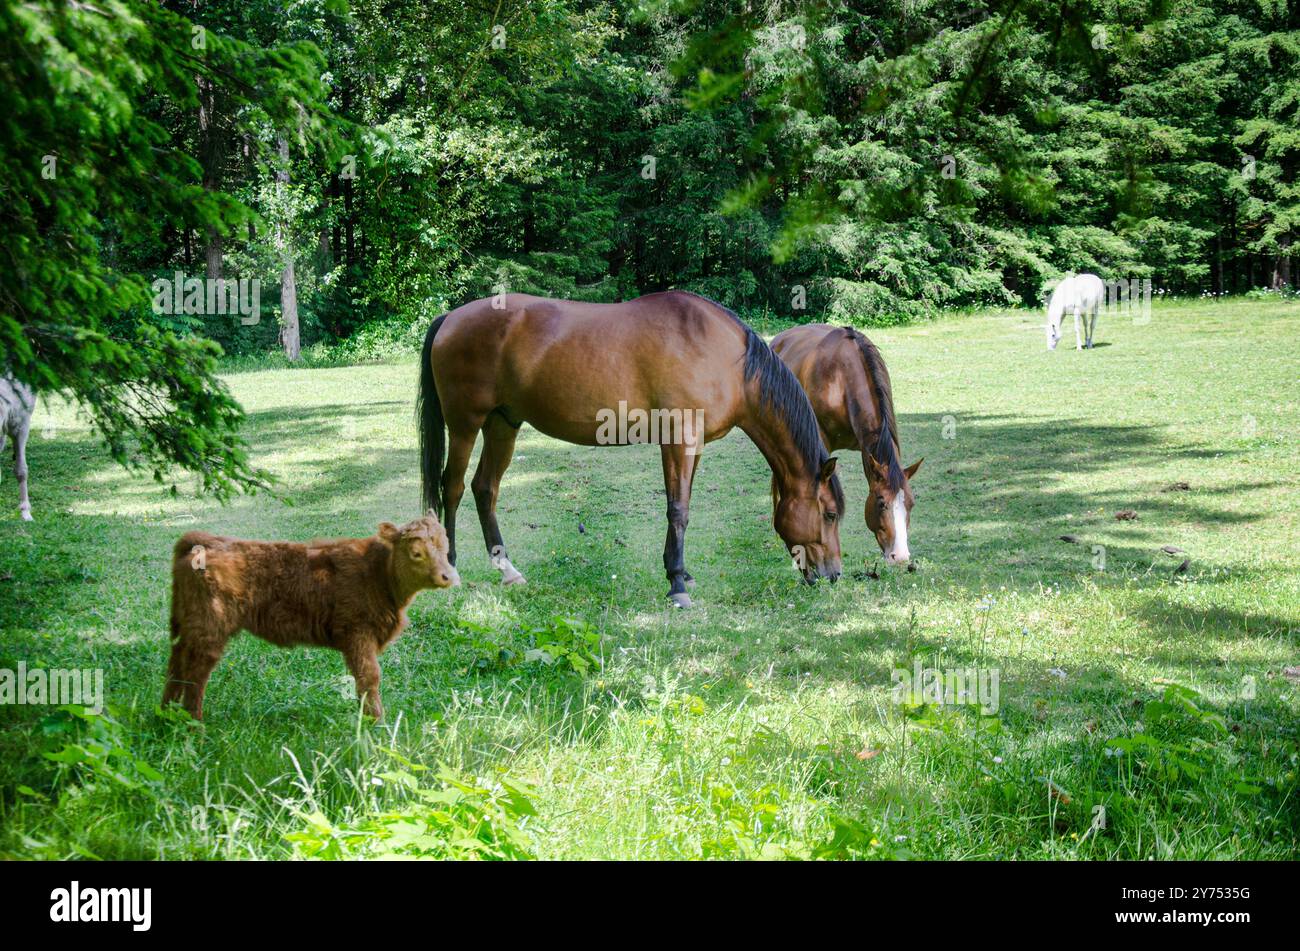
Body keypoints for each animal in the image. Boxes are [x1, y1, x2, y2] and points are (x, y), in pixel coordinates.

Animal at [417, 290, 845, 607]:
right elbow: (678, 510)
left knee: (485, 488)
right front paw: (677, 586)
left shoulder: (694, 445)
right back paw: (451, 565)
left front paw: (681, 573)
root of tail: (450, 318)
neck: (728, 360)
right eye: (829, 514)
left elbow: (682, 506)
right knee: (452, 487)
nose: (833, 575)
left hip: (502, 424)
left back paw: (507, 569)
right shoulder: (678, 439)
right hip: (465, 424)